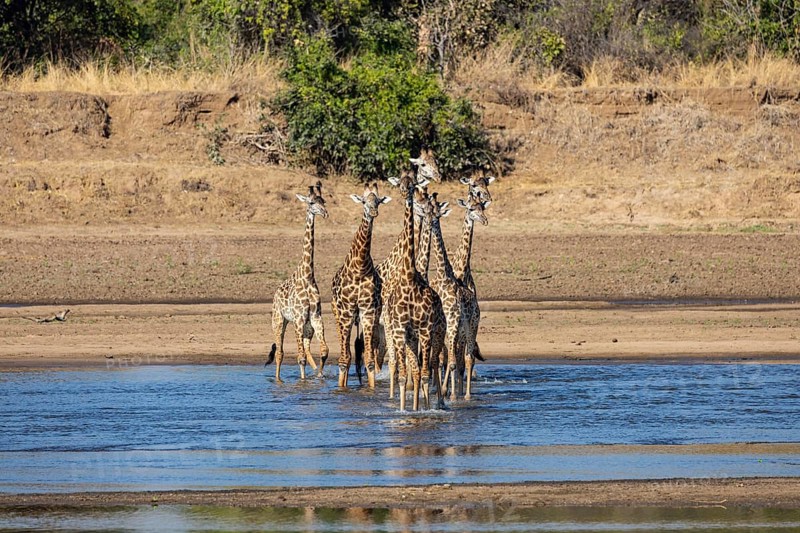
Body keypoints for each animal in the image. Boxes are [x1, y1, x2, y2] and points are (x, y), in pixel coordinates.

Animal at [266, 182, 329, 383]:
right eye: (311, 202)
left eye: (323, 201)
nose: (325, 213)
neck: (307, 276)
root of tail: (275, 293)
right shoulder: (298, 319)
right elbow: (299, 357)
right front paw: (302, 382)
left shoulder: (316, 317)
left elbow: (324, 351)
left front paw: (319, 376)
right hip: (279, 321)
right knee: (280, 352)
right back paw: (278, 380)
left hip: (307, 326)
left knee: (307, 349)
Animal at [330, 182, 391, 389]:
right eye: (364, 201)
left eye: (378, 201)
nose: (373, 211)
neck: (359, 267)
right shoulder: (347, 310)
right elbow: (344, 360)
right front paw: (341, 389)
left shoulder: (368, 310)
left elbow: (369, 360)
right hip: (339, 314)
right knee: (347, 355)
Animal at [384, 170, 446, 411]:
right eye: (400, 183)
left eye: (412, 184)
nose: (404, 192)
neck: (409, 278)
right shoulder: (401, 331)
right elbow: (405, 375)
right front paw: (404, 411)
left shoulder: (426, 330)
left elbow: (425, 372)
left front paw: (426, 410)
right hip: (409, 338)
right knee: (416, 369)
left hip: (434, 334)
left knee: (430, 366)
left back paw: (435, 403)